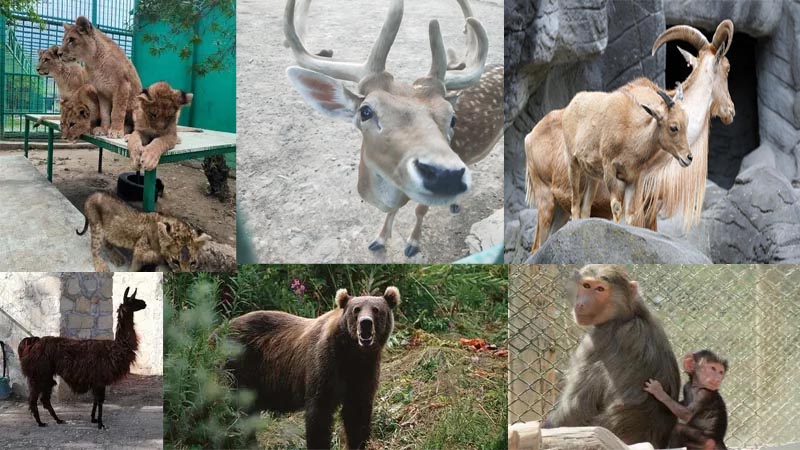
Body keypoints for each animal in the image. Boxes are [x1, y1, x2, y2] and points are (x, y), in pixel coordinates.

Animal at [76, 192, 210, 272]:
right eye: (176, 262)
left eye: (193, 263)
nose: (184, 276)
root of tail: (92, 195)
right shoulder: (140, 249)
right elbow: (143, 262)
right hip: (97, 226)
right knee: (95, 249)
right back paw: (100, 265)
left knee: (107, 242)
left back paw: (116, 256)